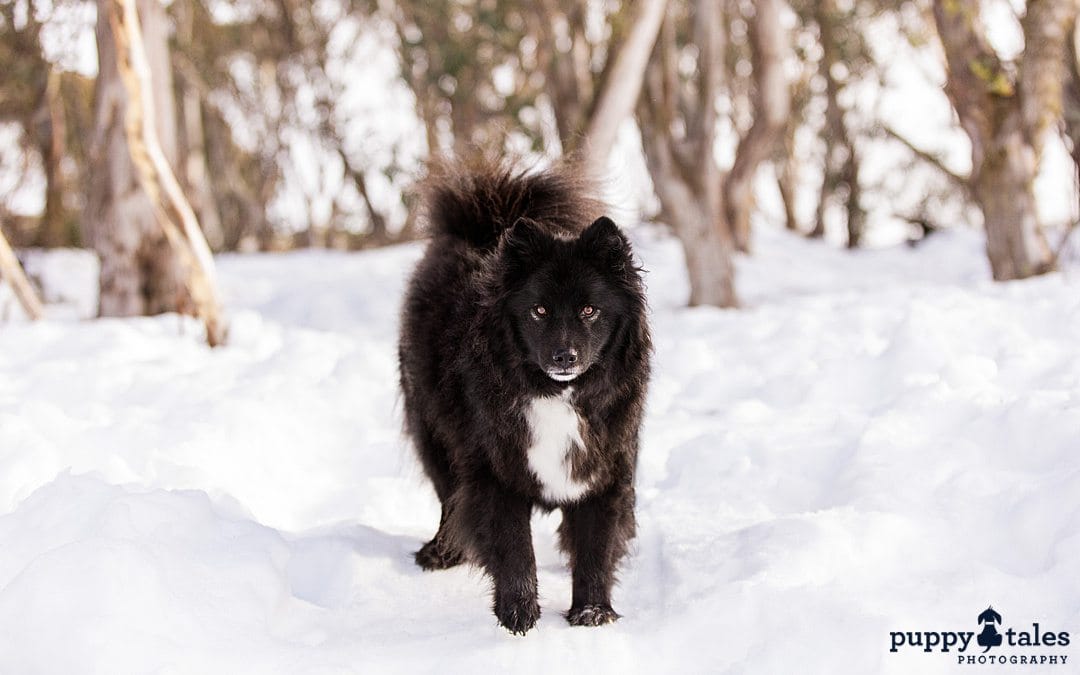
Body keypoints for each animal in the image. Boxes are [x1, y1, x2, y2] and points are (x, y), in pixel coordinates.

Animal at [397, 157, 648, 630]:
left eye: (590, 310)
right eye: (539, 310)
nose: (565, 356)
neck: (557, 394)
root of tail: (483, 224)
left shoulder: (605, 474)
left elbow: (596, 548)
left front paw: (592, 613)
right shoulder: (494, 473)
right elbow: (514, 549)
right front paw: (518, 616)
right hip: (433, 433)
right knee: (448, 498)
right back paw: (441, 552)